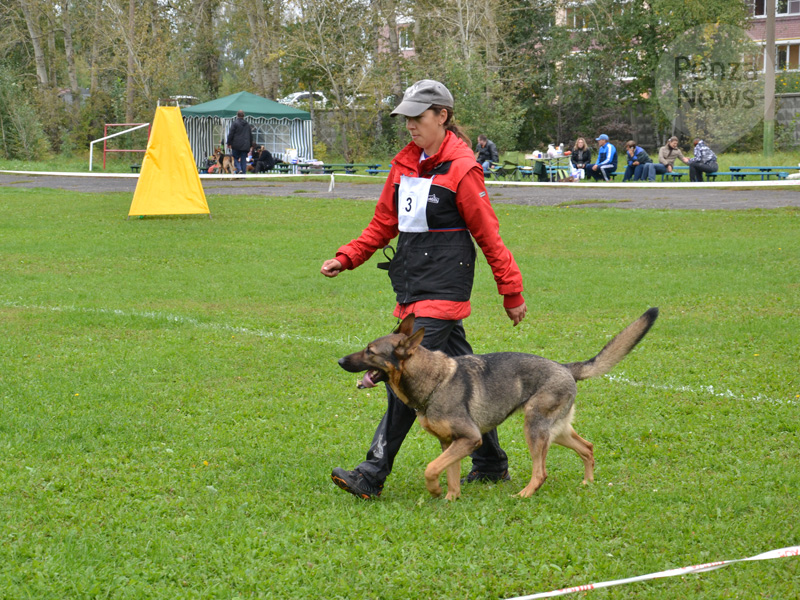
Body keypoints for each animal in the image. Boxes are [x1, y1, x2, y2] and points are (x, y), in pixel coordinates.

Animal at [338, 310, 656, 502]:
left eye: (370, 351)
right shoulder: (450, 443)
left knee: (541, 472)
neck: (433, 380)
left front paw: (435, 490)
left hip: (534, 428)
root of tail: (565, 368)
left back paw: (525, 495)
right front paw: (450, 498)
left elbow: (431, 469)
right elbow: (449, 473)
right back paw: (587, 483)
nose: (339, 360)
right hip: (556, 431)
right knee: (587, 447)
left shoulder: (470, 439)